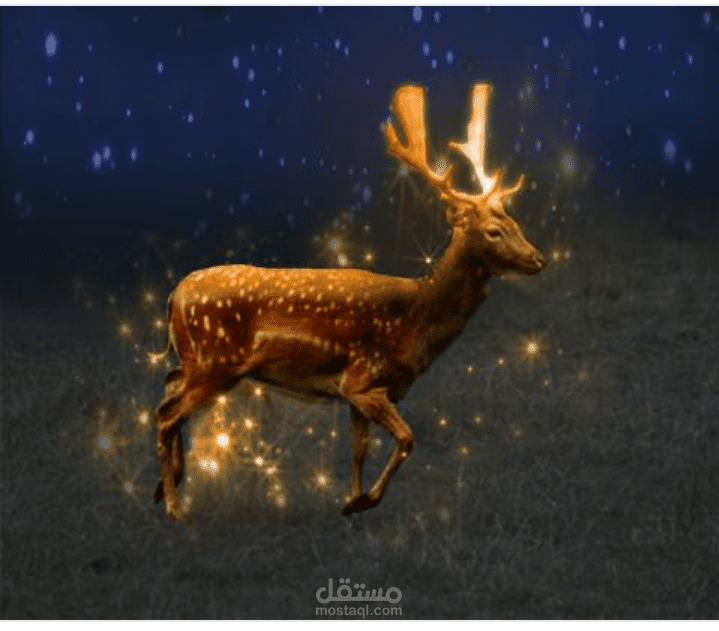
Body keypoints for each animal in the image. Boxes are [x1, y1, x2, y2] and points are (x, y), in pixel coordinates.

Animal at [153, 83, 545, 520]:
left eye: (516, 224)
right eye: (494, 231)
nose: (538, 259)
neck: (418, 319)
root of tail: (173, 296)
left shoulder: (360, 394)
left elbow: (358, 450)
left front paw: (349, 503)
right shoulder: (362, 378)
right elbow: (407, 438)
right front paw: (363, 502)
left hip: (195, 361)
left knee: (167, 391)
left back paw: (164, 488)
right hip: (215, 363)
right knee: (166, 416)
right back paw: (173, 508)